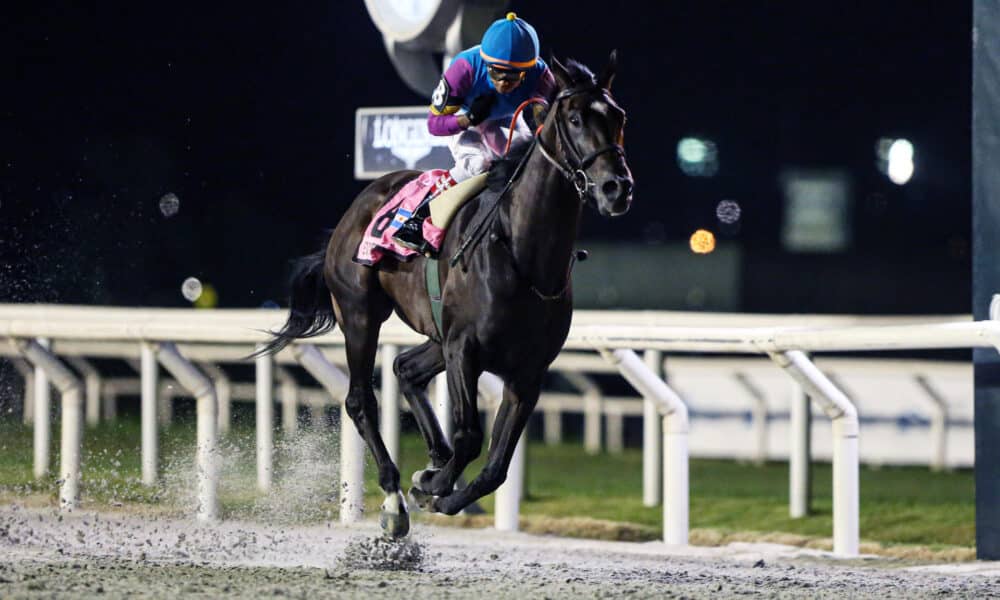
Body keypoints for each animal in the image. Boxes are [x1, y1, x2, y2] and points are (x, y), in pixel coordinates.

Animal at [258, 52, 632, 540]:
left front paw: (443, 489)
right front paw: (431, 484)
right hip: (361, 315)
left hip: (437, 336)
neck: (522, 252)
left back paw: (429, 464)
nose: (616, 188)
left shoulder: (527, 370)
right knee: (361, 399)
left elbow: (497, 466)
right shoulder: (465, 349)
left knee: (404, 368)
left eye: (619, 117)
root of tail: (357, 206)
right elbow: (470, 437)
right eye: (574, 119)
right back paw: (394, 496)